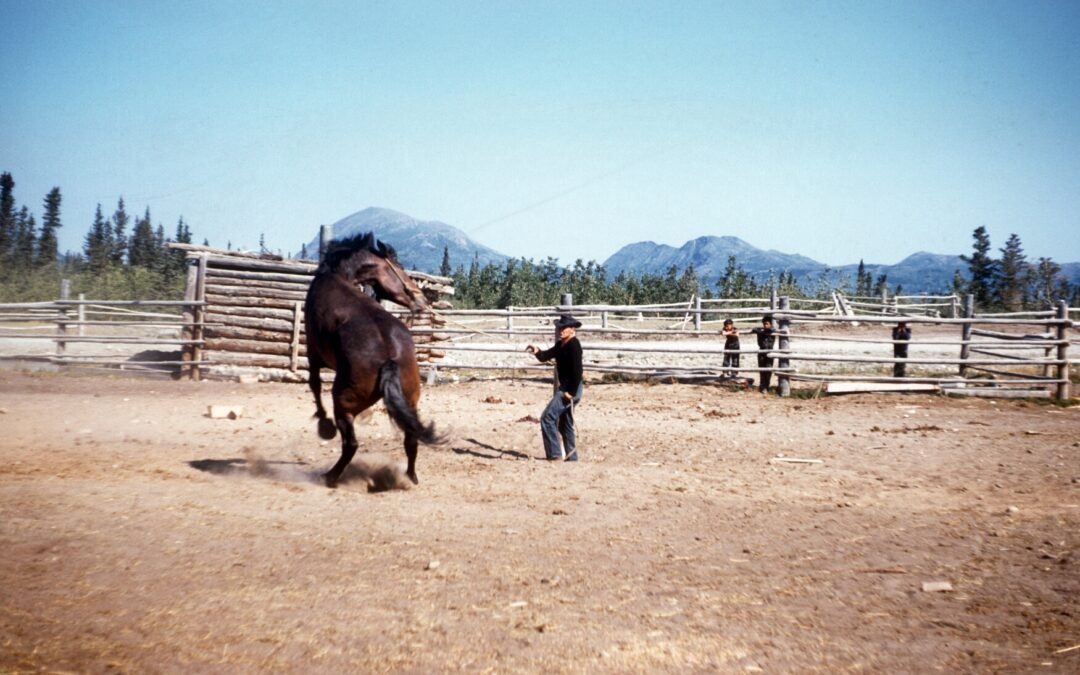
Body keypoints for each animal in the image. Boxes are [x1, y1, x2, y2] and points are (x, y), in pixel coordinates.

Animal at [304, 234, 442, 486]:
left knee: (351, 444)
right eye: (400, 266)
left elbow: (315, 384)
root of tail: (390, 357)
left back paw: (330, 476)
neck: (337, 276)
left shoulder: (313, 349)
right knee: (411, 440)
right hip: (411, 400)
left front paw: (323, 425)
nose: (420, 298)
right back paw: (410, 477)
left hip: (344, 402)